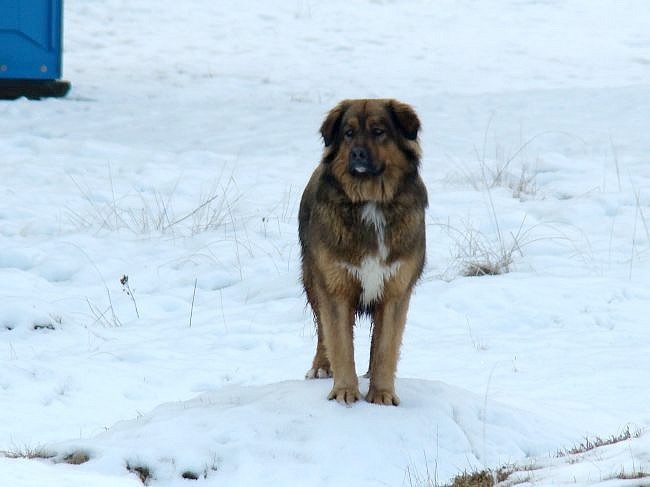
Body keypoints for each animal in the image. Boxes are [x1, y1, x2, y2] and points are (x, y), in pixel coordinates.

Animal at [298, 97, 426, 406]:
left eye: (379, 131)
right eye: (348, 133)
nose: (357, 154)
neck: (371, 201)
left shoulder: (395, 290)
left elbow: (385, 347)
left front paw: (382, 394)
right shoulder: (334, 285)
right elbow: (340, 343)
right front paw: (345, 391)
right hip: (312, 278)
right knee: (322, 331)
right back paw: (321, 366)